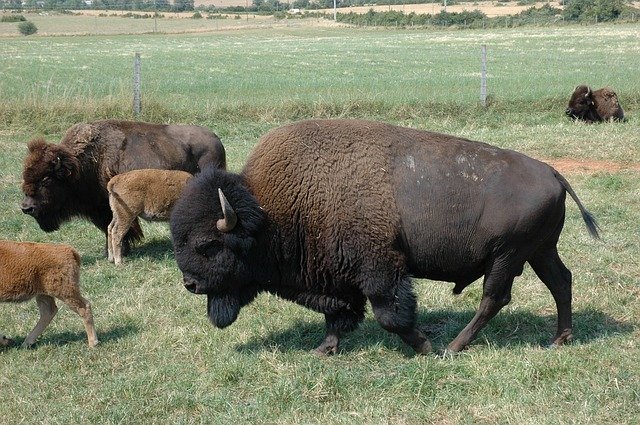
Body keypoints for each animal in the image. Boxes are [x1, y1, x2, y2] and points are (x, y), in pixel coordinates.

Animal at [22, 119, 226, 255]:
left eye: (46, 178)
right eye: (25, 176)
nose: (26, 208)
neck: (82, 165)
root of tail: (216, 140)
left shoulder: (109, 206)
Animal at [170, 118, 600, 354]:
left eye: (208, 245)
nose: (190, 284)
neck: (268, 211)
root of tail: (553, 172)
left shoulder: (381, 270)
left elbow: (389, 315)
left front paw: (424, 345)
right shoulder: (337, 278)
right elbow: (338, 315)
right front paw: (323, 350)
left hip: (507, 256)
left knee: (495, 298)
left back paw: (453, 347)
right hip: (539, 251)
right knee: (561, 282)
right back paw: (559, 339)